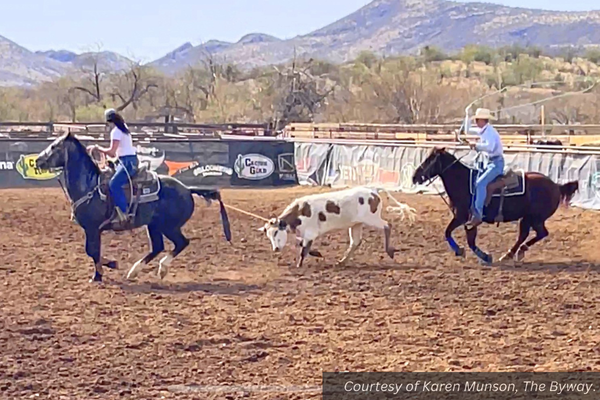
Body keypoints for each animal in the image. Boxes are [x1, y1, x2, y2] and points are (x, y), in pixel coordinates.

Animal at [36, 133, 231, 282]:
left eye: (54, 147)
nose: (37, 161)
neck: (89, 185)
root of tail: (187, 189)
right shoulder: (92, 229)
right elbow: (93, 251)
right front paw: (101, 272)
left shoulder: (92, 228)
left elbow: (92, 251)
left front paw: (103, 271)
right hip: (154, 225)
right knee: (158, 246)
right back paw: (134, 272)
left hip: (169, 226)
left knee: (181, 243)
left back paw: (161, 268)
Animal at [258, 186, 418, 268]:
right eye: (268, 235)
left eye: (276, 232)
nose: (275, 248)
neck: (300, 212)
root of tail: (373, 190)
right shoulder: (304, 234)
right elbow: (303, 246)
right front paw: (317, 253)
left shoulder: (310, 233)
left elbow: (304, 250)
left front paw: (299, 264)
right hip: (356, 224)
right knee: (355, 242)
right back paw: (342, 261)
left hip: (371, 219)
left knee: (387, 225)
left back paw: (389, 251)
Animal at [412, 148, 576, 264]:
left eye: (429, 160)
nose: (414, 177)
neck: (463, 182)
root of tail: (556, 186)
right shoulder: (468, 221)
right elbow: (469, 240)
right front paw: (482, 256)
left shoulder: (462, 217)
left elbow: (449, 233)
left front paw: (467, 253)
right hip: (528, 218)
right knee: (527, 234)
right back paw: (510, 254)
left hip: (535, 218)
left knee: (540, 233)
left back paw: (517, 252)